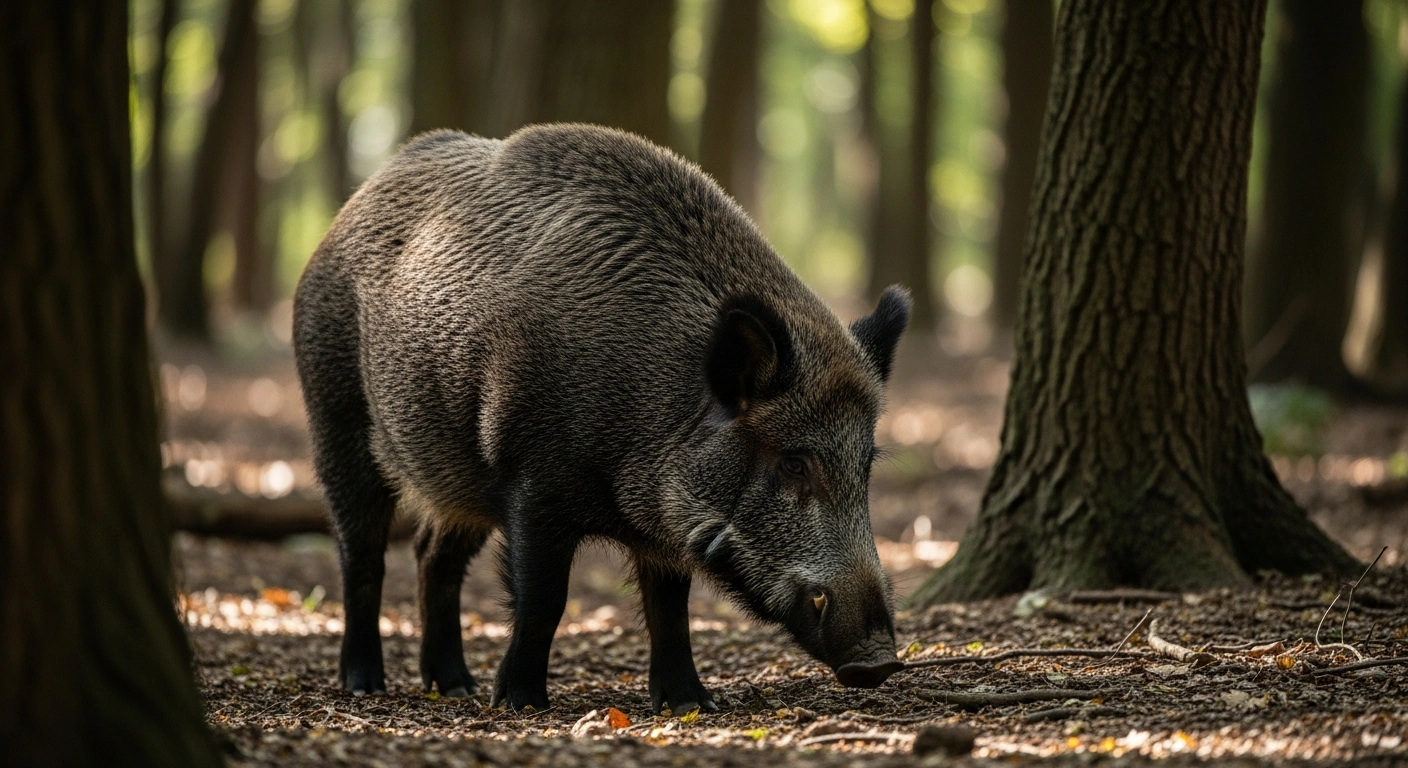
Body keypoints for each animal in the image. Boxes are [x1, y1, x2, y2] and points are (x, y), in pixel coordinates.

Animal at [293, 124, 910, 713]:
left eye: (866, 466)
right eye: (794, 462)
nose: (879, 660)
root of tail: (348, 210)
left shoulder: (661, 522)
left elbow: (670, 606)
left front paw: (693, 704)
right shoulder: (532, 479)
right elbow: (545, 599)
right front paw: (520, 703)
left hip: (456, 474)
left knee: (431, 555)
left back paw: (456, 688)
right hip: (335, 416)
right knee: (361, 551)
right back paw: (365, 685)